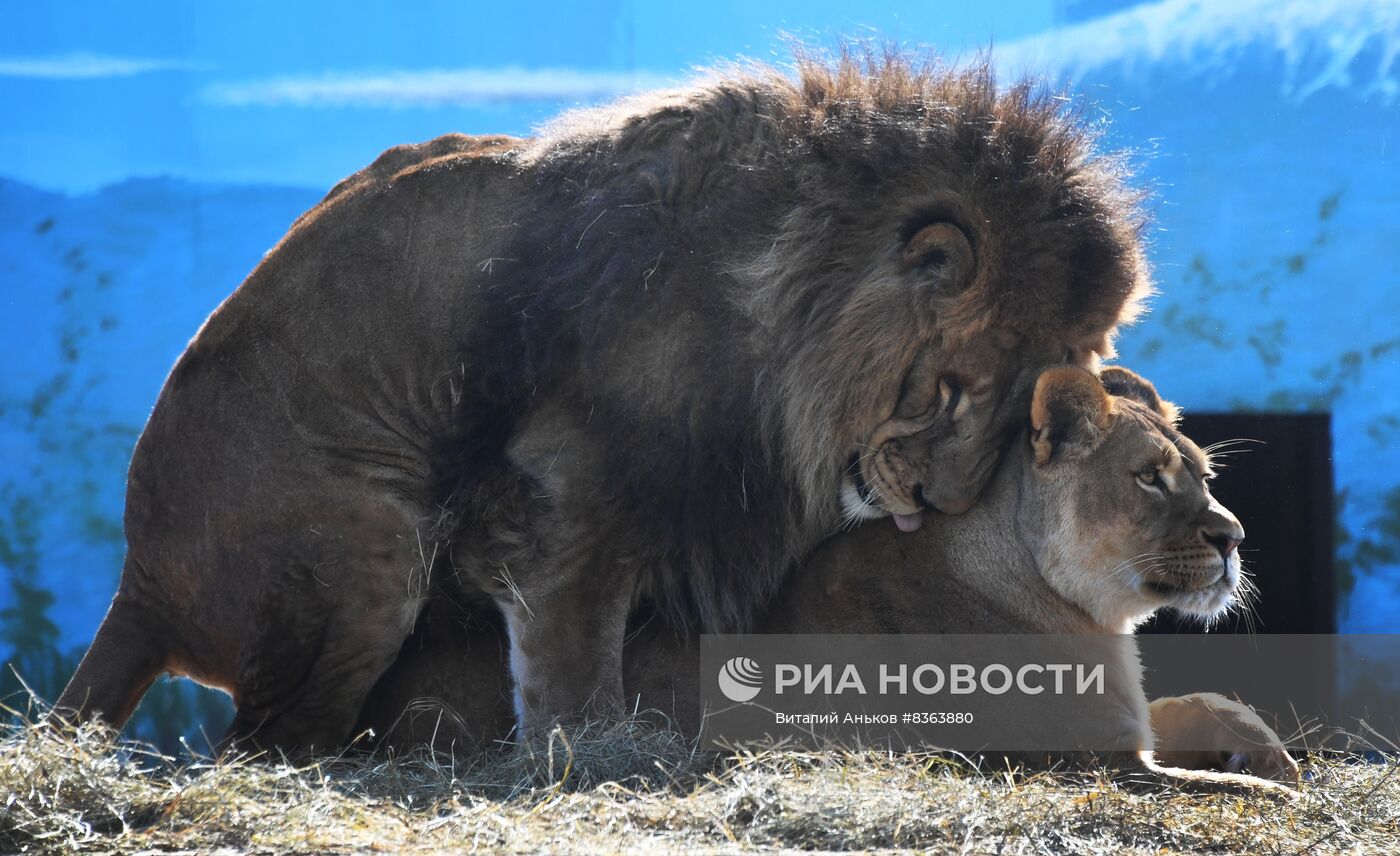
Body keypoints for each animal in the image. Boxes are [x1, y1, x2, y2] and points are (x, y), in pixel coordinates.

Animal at [57, 51, 1148, 750]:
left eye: (1017, 412)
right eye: (954, 388)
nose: (942, 502)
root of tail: (137, 578)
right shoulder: (566, 498)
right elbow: (574, 655)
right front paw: (590, 753)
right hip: (375, 541)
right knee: (265, 738)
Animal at [364, 367, 1299, 790]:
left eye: (1203, 475)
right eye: (1149, 478)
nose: (1233, 537)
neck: (1092, 613)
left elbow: (1205, 700)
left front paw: (1265, 745)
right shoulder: (1097, 759)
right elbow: (1229, 786)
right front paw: (1264, 774)